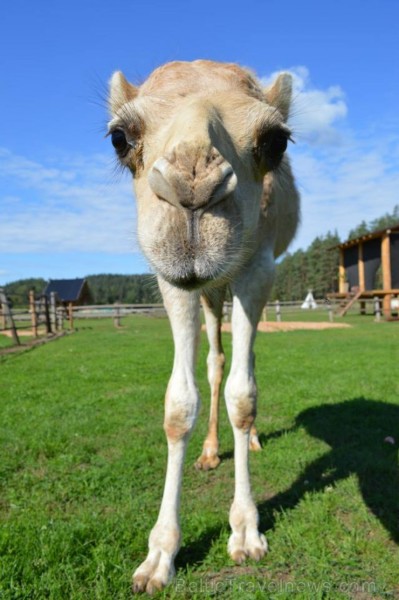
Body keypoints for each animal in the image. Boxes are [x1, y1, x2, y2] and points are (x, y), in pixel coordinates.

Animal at [108, 58, 302, 592]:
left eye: (276, 141)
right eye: (120, 137)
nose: (192, 189)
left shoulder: (258, 268)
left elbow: (244, 395)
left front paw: (246, 533)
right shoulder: (174, 282)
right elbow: (179, 404)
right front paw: (158, 558)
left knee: (243, 362)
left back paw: (248, 441)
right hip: (212, 288)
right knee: (216, 359)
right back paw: (213, 451)